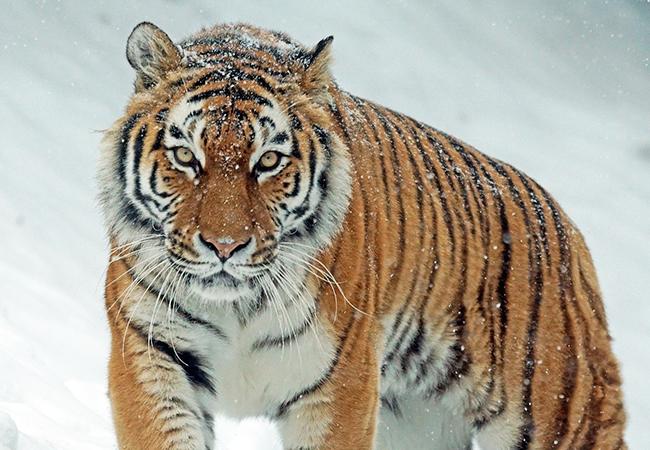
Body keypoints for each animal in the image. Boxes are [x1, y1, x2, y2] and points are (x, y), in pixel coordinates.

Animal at [98, 20, 626, 450]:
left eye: (268, 161)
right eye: (186, 156)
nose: (225, 247)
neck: (237, 308)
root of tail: (569, 231)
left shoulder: (340, 385)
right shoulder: (151, 356)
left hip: (563, 413)